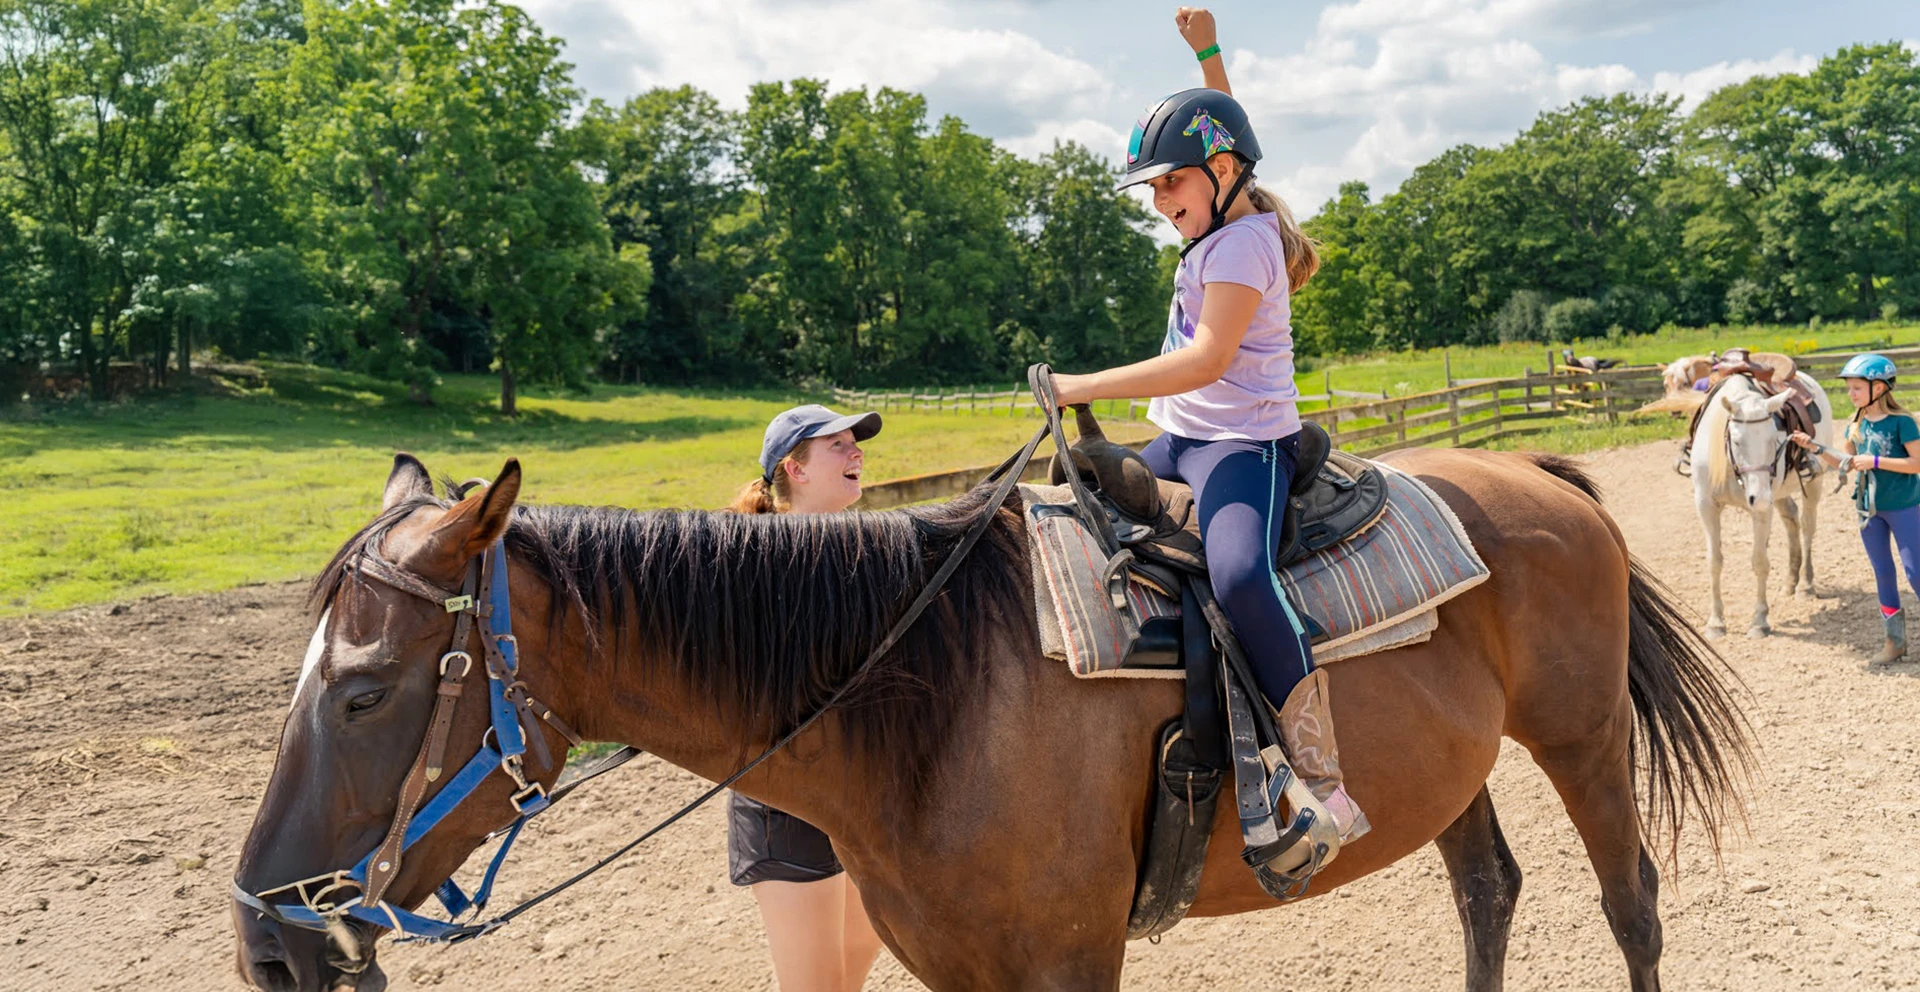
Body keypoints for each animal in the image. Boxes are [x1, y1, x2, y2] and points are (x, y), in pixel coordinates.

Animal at [232, 448, 1751, 992]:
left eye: (363, 688)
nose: (266, 938)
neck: (931, 702)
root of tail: (1543, 480)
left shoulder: (1071, 964)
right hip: (1455, 771)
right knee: (1488, 891)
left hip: (1580, 740)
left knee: (1631, 900)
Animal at [1688, 371, 1836, 638]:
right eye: (1736, 441)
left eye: (1774, 438)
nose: (1761, 497)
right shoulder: (1706, 505)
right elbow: (1714, 561)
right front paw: (1716, 623)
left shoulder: (1761, 510)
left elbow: (1759, 561)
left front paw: (1759, 621)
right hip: (1777, 495)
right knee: (1791, 519)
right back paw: (1790, 581)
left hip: (1811, 484)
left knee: (1808, 527)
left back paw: (1805, 585)